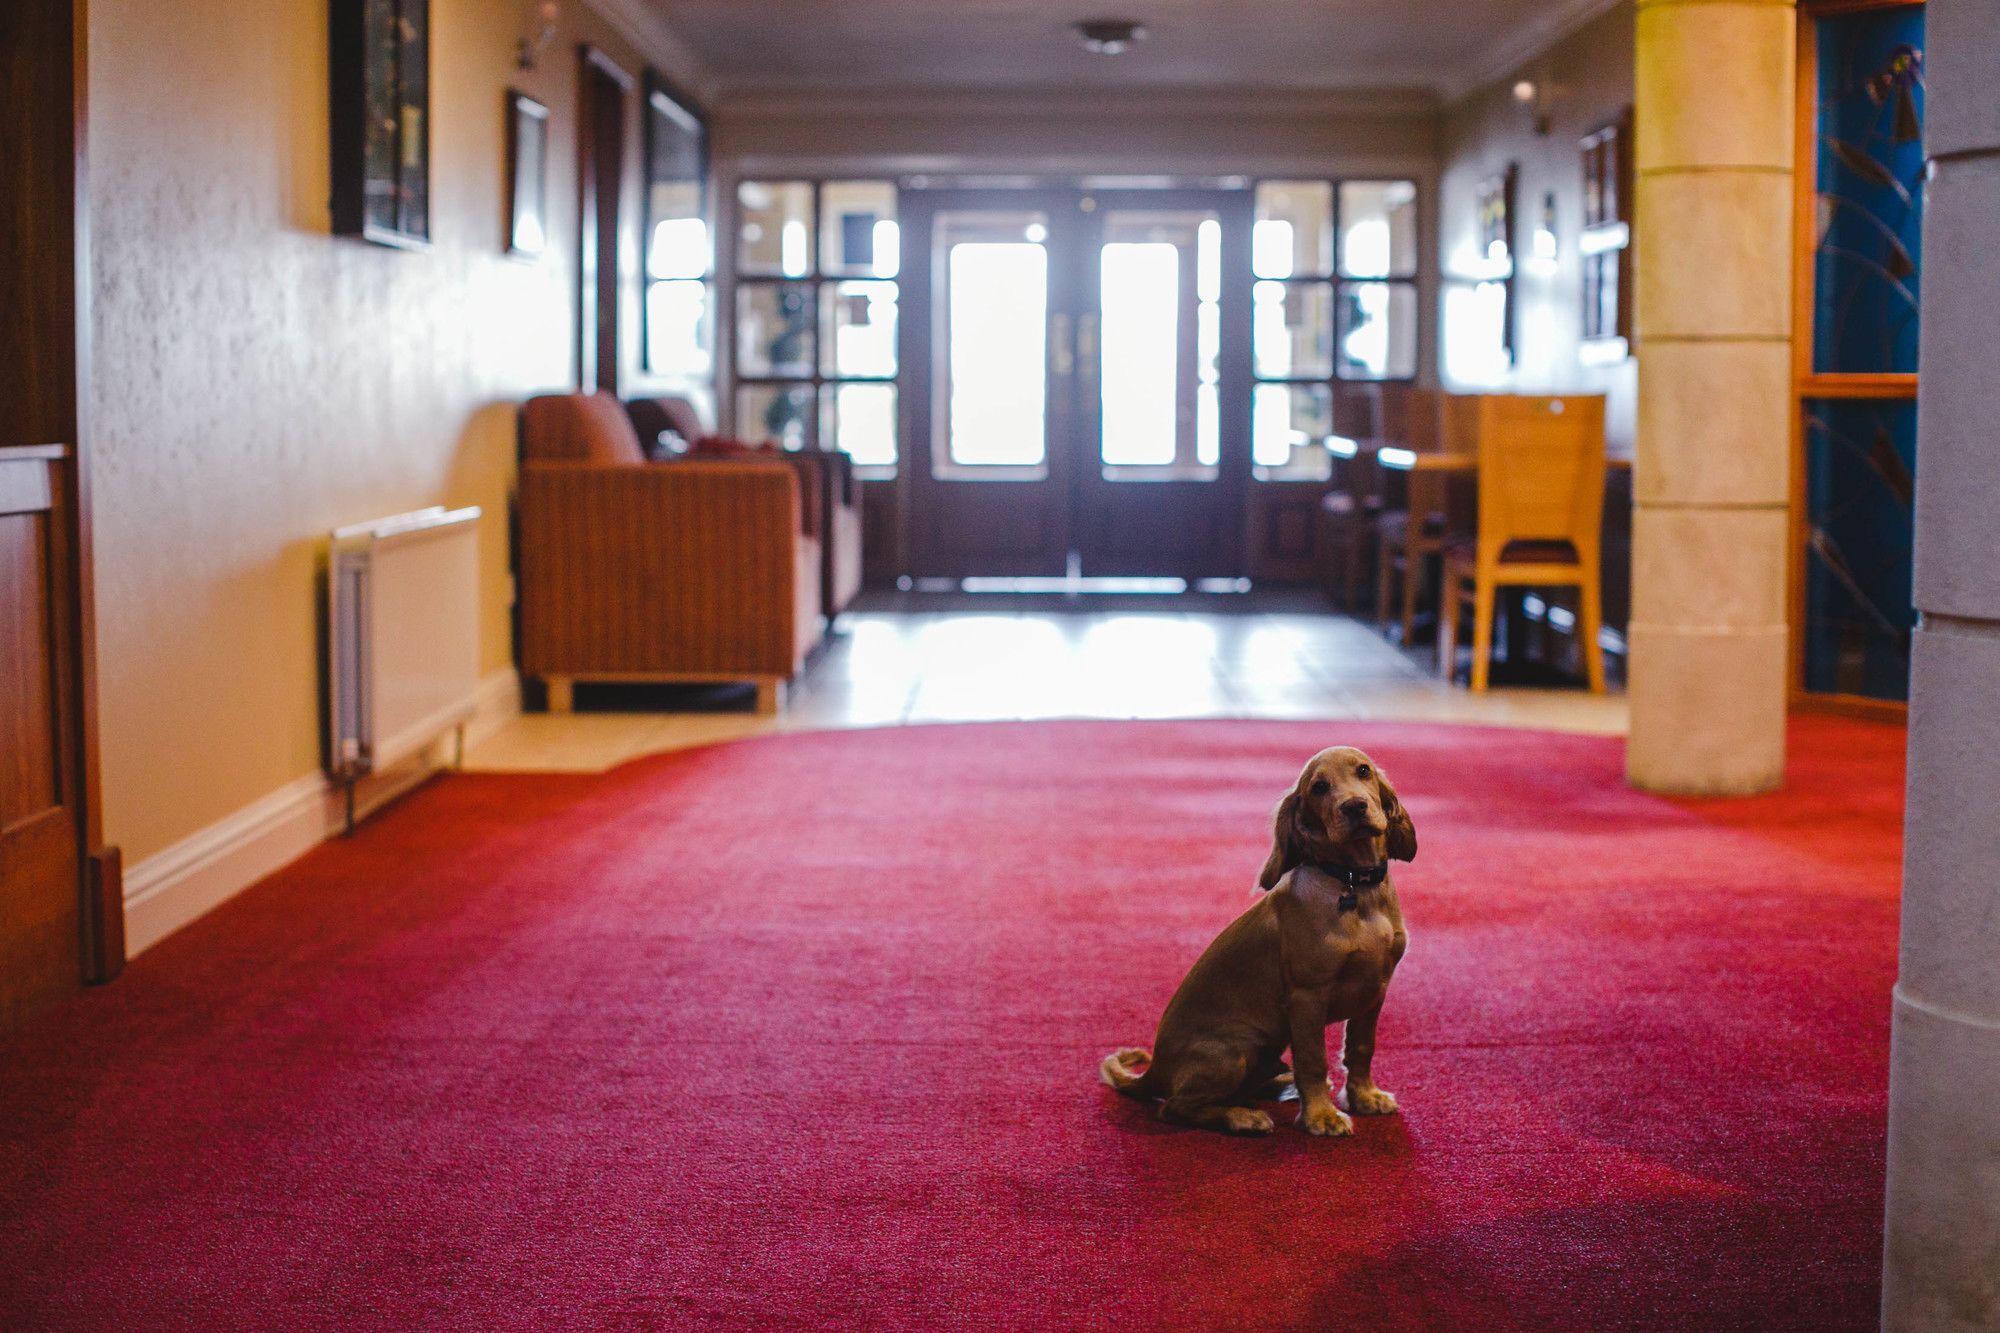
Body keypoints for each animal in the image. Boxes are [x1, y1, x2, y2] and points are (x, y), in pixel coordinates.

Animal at [1104, 748, 1416, 1128]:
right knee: (1175, 1107)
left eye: (1364, 771)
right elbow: (1313, 1059)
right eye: (1319, 787)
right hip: (1238, 1048)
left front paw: (1364, 1097)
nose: (1355, 806)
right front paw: (1321, 1117)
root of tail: (1155, 1071)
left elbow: (1361, 1048)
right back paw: (1243, 1118)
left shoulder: (1376, 989)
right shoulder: (1307, 997)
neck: (1355, 885)